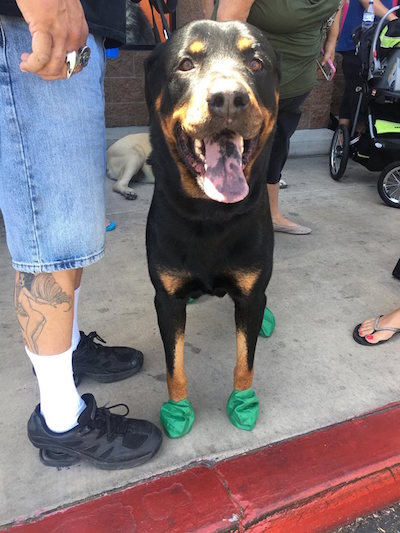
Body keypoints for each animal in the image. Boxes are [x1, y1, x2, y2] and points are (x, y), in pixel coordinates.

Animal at [144, 20, 279, 437]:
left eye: (256, 63)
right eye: (186, 63)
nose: (229, 99)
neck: (211, 214)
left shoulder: (250, 294)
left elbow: (245, 360)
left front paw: (243, 402)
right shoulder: (166, 299)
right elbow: (174, 366)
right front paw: (177, 410)